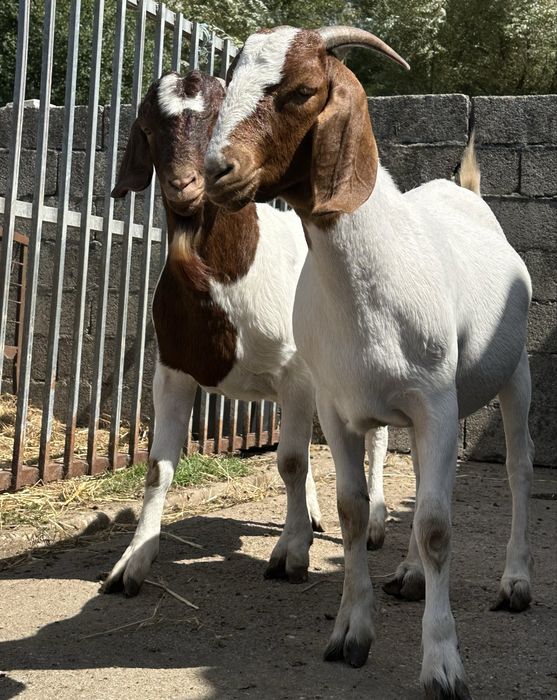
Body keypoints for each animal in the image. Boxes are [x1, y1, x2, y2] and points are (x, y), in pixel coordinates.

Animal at [101, 70, 390, 596]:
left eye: (222, 115)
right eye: (148, 130)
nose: (184, 184)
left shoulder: (297, 374)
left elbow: (290, 461)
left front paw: (291, 555)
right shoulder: (173, 369)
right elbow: (158, 467)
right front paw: (132, 561)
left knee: (371, 438)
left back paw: (374, 522)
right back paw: (312, 516)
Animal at [205, 28, 534, 699]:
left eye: (303, 89)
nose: (215, 169)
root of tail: (466, 192)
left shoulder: (436, 403)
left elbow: (437, 526)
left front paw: (442, 664)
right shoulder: (337, 406)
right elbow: (354, 512)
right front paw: (350, 633)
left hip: (514, 377)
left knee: (517, 469)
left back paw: (515, 582)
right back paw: (408, 575)